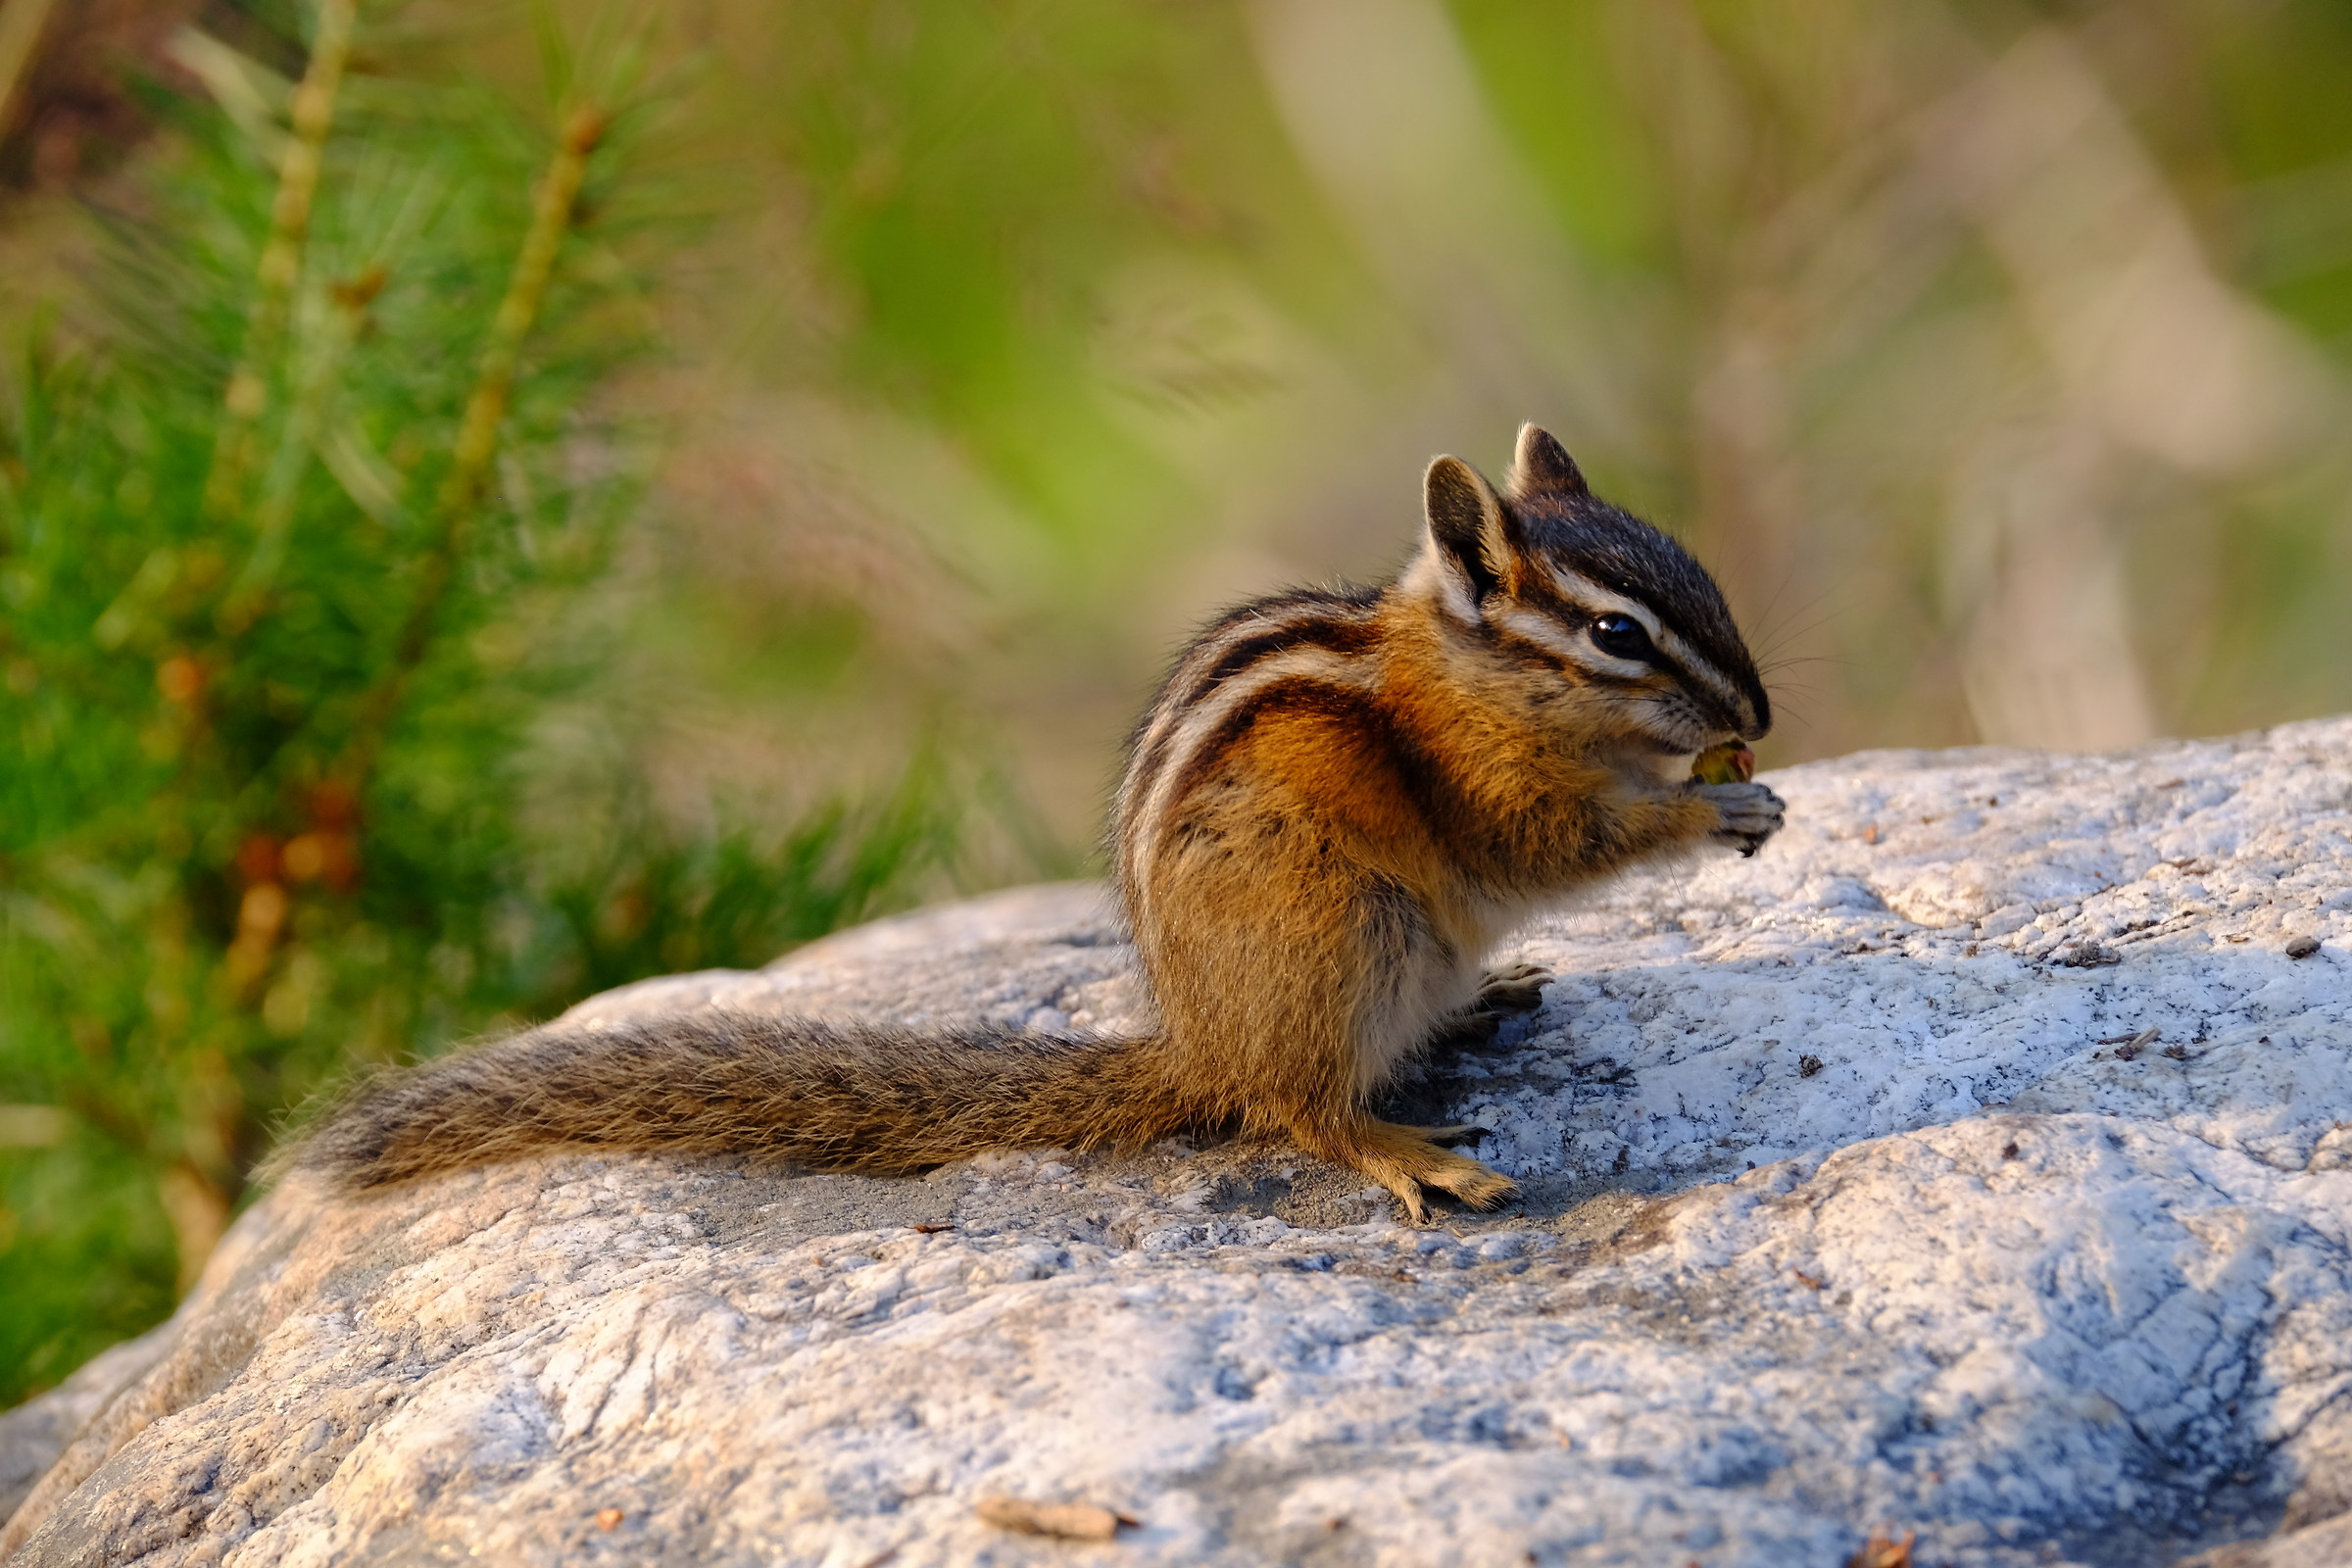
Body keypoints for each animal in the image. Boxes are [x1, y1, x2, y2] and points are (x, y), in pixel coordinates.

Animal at [291, 424, 1781, 1221]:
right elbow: (1558, 843)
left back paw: (1477, 1007)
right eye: (1617, 633)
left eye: (1705, 580)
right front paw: (1711, 805)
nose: (1760, 707)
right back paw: (1403, 1150)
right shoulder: (1480, 791)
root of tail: (1195, 1045)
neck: (1464, 673)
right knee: (1299, 1110)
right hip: (1347, 928)